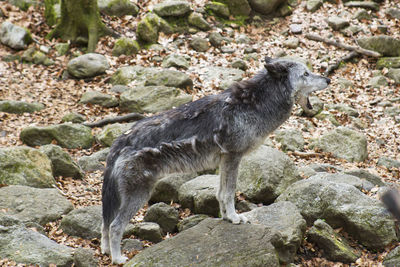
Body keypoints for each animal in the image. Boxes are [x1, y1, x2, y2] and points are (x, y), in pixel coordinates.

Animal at [101, 56, 332, 264]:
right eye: (306, 74)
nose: (328, 79)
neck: (255, 104)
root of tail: (122, 139)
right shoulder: (233, 157)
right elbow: (230, 193)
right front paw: (236, 218)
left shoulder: (225, 161)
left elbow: (221, 193)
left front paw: (227, 218)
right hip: (140, 194)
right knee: (115, 226)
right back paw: (117, 258)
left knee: (105, 224)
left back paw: (106, 251)